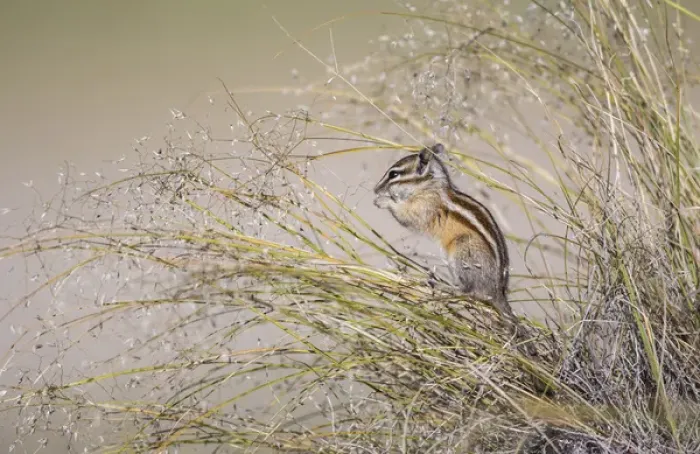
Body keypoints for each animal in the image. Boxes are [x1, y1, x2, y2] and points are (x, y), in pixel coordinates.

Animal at [373, 143, 514, 318]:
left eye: (393, 174)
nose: (375, 189)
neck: (428, 186)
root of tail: (497, 292)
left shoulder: (424, 208)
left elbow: (407, 217)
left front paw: (383, 201)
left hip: (462, 251)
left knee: (469, 292)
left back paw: (444, 287)